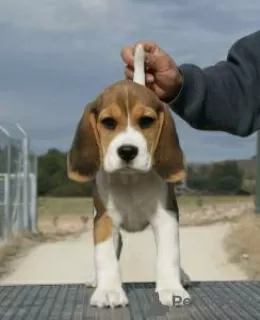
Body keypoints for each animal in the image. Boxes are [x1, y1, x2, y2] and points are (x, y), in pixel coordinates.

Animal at [67, 44, 189, 308]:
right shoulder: (105, 219)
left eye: (146, 121)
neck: (130, 179)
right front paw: (108, 291)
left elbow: (169, 254)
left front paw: (172, 288)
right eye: (108, 123)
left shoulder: (166, 216)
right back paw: (96, 279)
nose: (127, 151)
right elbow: (105, 256)